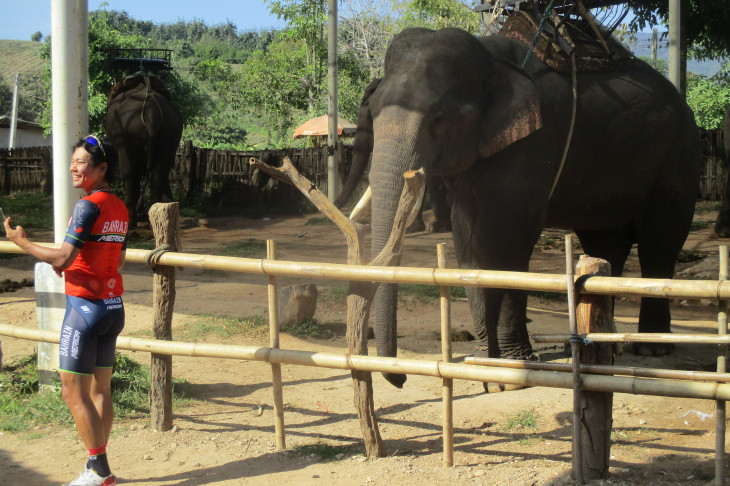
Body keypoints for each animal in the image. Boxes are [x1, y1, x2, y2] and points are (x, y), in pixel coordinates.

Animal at [105, 73, 185, 229]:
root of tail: (151, 111)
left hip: (126, 132)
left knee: (129, 173)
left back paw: (131, 223)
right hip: (170, 131)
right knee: (159, 173)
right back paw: (152, 220)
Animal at [334, 27, 700, 392]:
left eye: (439, 117)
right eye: (373, 110)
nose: (400, 379)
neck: (487, 55)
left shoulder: (531, 143)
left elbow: (508, 238)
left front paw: (509, 373)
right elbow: (467, 239)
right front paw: (485, 366)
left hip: (678, 156)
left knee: (659, 240)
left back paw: (651, 349)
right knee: (605, 244)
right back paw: (601, 344)